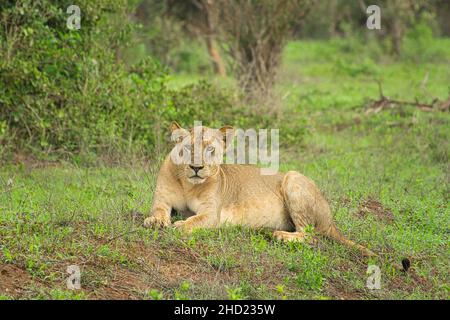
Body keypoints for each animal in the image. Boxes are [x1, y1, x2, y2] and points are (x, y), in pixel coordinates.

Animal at [144, 121, 376, 256]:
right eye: (188, 147)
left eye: (211, 149)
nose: (196, 167)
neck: (188, 184)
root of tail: (331, 221)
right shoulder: (162, 200)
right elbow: (158, 211)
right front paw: (155, 221)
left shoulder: (211, 213)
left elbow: (195, 220)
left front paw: (180, 225)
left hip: (293, 178)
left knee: (311, 235)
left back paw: (281, 236)